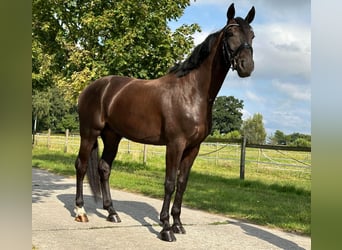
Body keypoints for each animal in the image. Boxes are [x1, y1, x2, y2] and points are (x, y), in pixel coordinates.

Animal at [75, 3, 256, 242]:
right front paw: (166, 228)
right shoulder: (175, 144)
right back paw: (80, 211)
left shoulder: (193, 148)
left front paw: (178, 224)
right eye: (230, 33)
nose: (247, 66)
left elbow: (182, 183)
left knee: (104, 169)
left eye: (252, 35)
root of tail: (92, 88)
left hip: (112, 136)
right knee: (81, 165)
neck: (192, 92)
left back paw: (112, 212)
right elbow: (169, 183)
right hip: (89, 133)